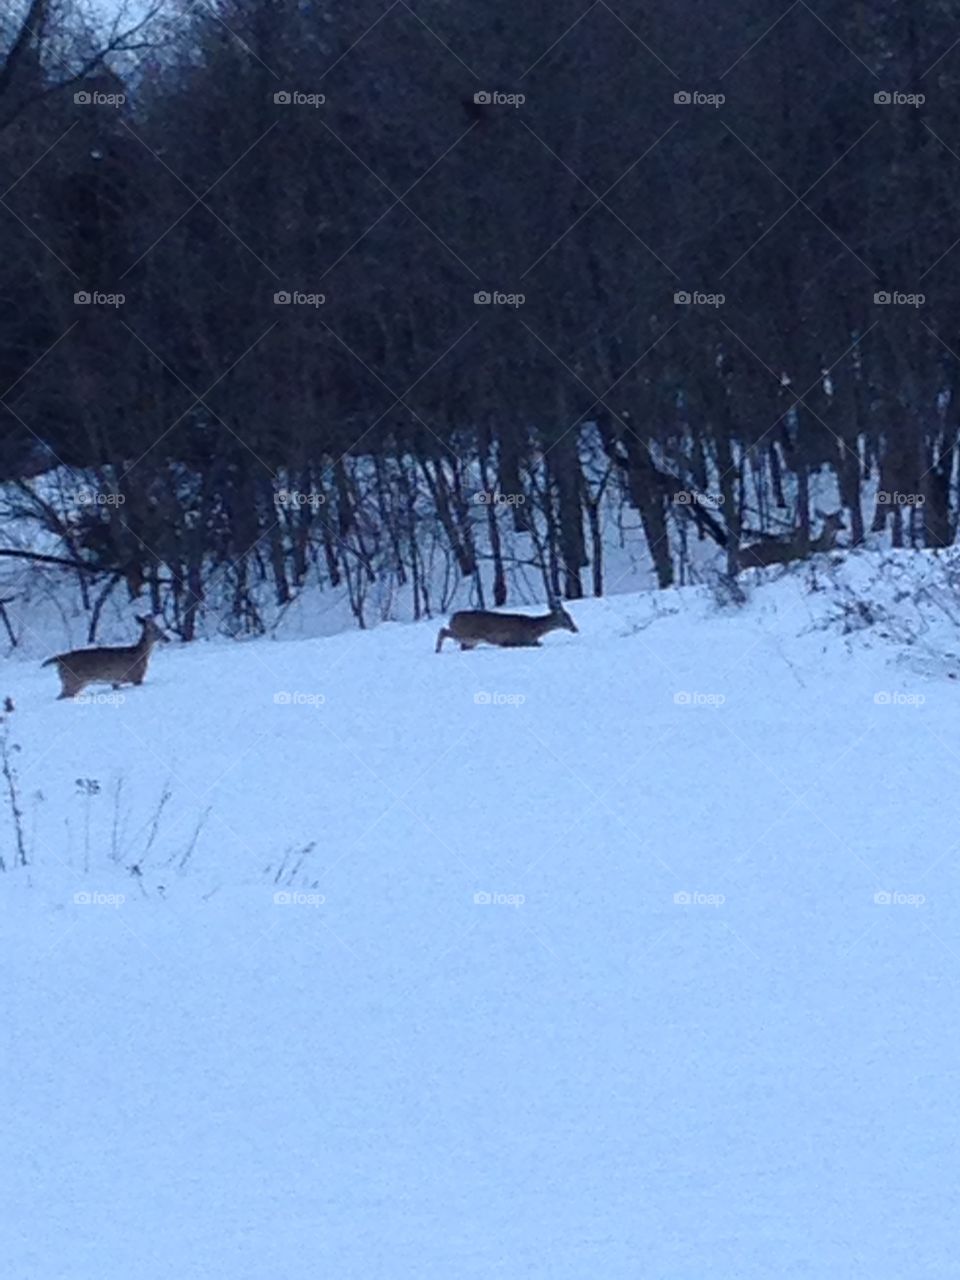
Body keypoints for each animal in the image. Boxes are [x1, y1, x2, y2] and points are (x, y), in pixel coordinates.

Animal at [436, 603, 578, 652]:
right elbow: (537, 644)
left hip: (471, 640)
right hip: (466, 634)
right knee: (443, 630)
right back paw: (437, 650)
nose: (575, 628)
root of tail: (452, 618)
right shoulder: (519, 640)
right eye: (567, 617)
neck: (534, 629)